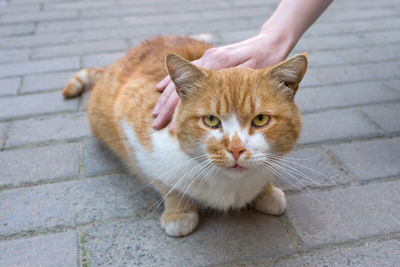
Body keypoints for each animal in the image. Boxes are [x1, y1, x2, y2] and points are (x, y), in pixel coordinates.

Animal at [61, 36, 306, 239]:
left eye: (261, 119)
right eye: (210, 120)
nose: (236, 149)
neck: (231, 185)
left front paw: (267, 193)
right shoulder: (138, 137)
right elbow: (167, 184)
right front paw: (179, 214)